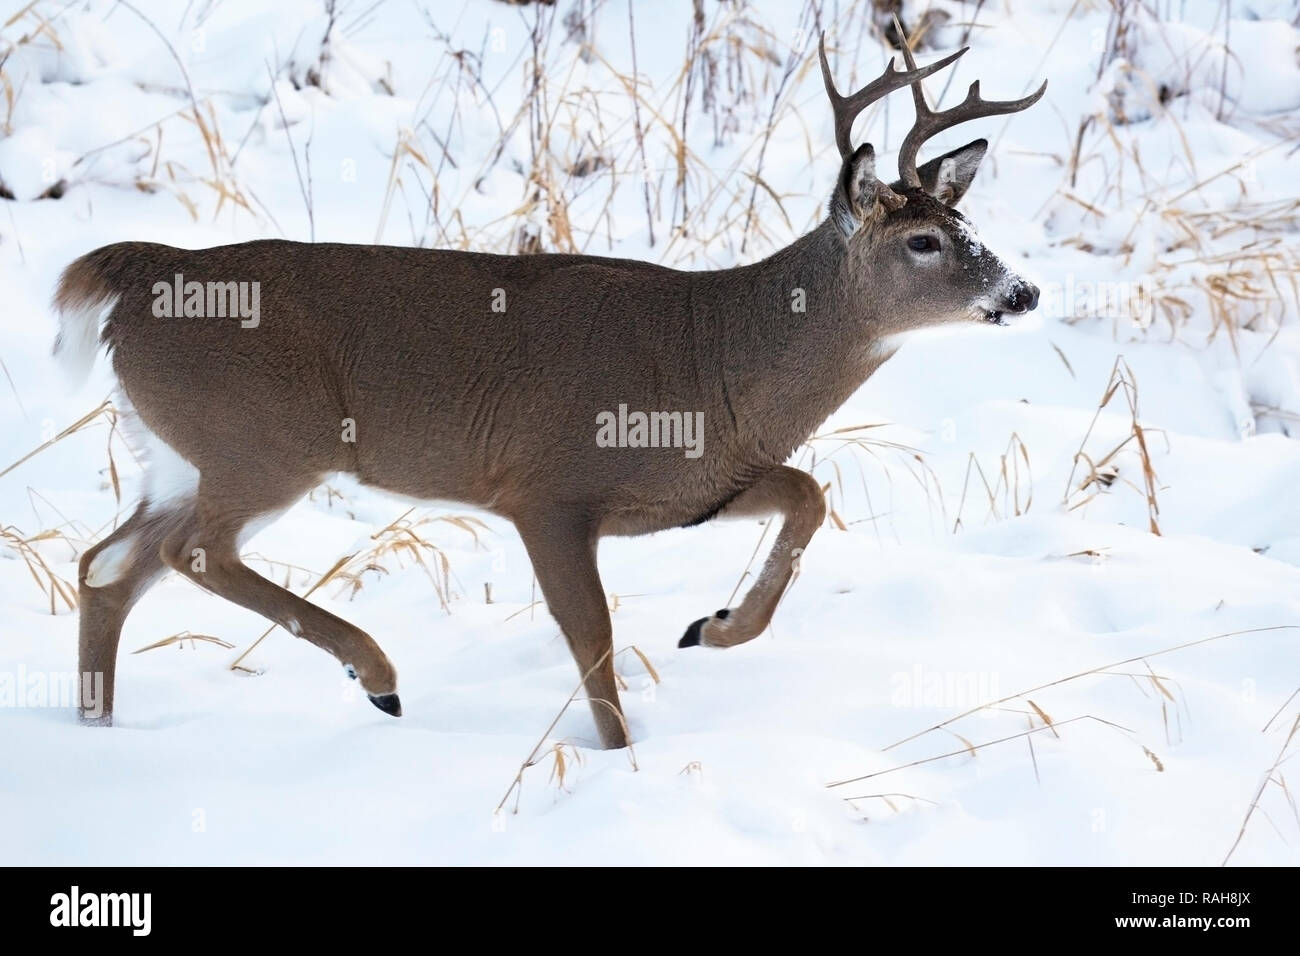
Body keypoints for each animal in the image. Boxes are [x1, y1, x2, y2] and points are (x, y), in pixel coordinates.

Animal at [52, 35, 1043, 749]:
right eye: (922, 241)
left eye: (967, 222)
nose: (1023, 291)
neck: (717, 359)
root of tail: (136, 277)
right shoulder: (547, 488)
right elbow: (591, 636)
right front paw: (621, 756)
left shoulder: (687, 488)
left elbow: (808, 493)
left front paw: (711, 626)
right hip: (261, 441)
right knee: (189, 553)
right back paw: (379, 680)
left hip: (179, 454)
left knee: (107, 563)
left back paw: (97, 731)